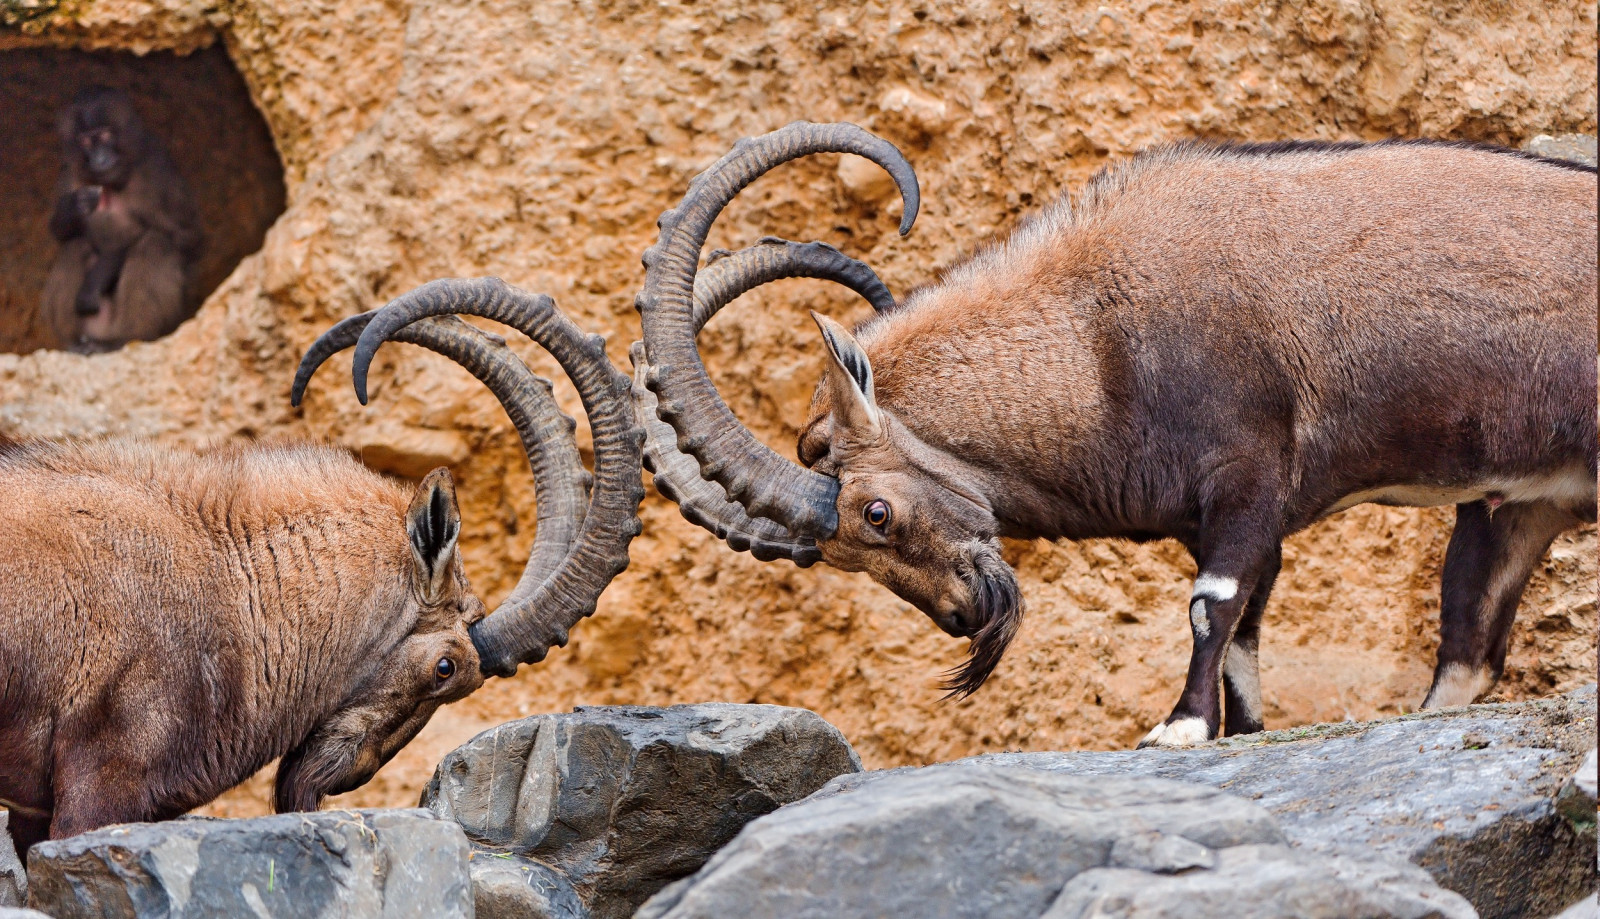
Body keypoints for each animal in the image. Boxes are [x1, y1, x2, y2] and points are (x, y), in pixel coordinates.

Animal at [634, 123, 1598, 747]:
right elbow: (1247, 624)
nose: (964, 615)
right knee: (1470, 647)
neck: (1095, 334)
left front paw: (1176, 727)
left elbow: (1214, 602)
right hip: (1515, 505)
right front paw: (1239, 731)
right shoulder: (1236, 514)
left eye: (875, 512)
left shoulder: (1249, 471)